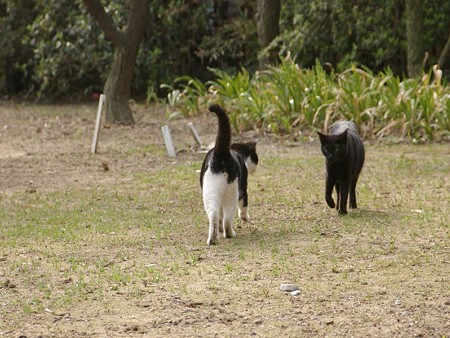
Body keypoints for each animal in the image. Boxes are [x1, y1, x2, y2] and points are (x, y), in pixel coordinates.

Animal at [200, 104, 258, 244]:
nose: (256, 167)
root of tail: (221, 151)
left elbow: (219, 215)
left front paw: (220, 230)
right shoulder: (243, 189)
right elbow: (243, 207)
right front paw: (246, 218)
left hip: (210, 192)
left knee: (214, 215)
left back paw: (213, 238)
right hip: (232, 192)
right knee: (227, 218)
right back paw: (230, 233)